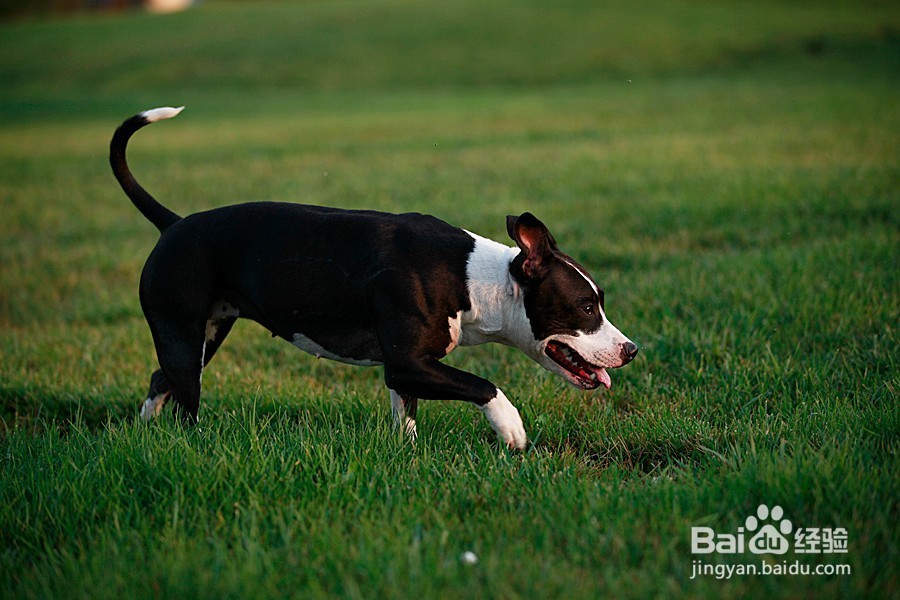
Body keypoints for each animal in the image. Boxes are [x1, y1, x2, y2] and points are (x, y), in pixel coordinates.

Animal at [109, 106, 636, 450]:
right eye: (586, 307)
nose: (631, 350)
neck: (474, 281)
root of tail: (174, 224)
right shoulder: (406, 363)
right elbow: (485, 385)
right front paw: (511, 429)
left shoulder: (410, 370)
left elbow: (406, 417)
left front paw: (406, 455)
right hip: (181, 332)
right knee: (186, 402)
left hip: (206, 334)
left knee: (161, 379)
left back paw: (144, 433)